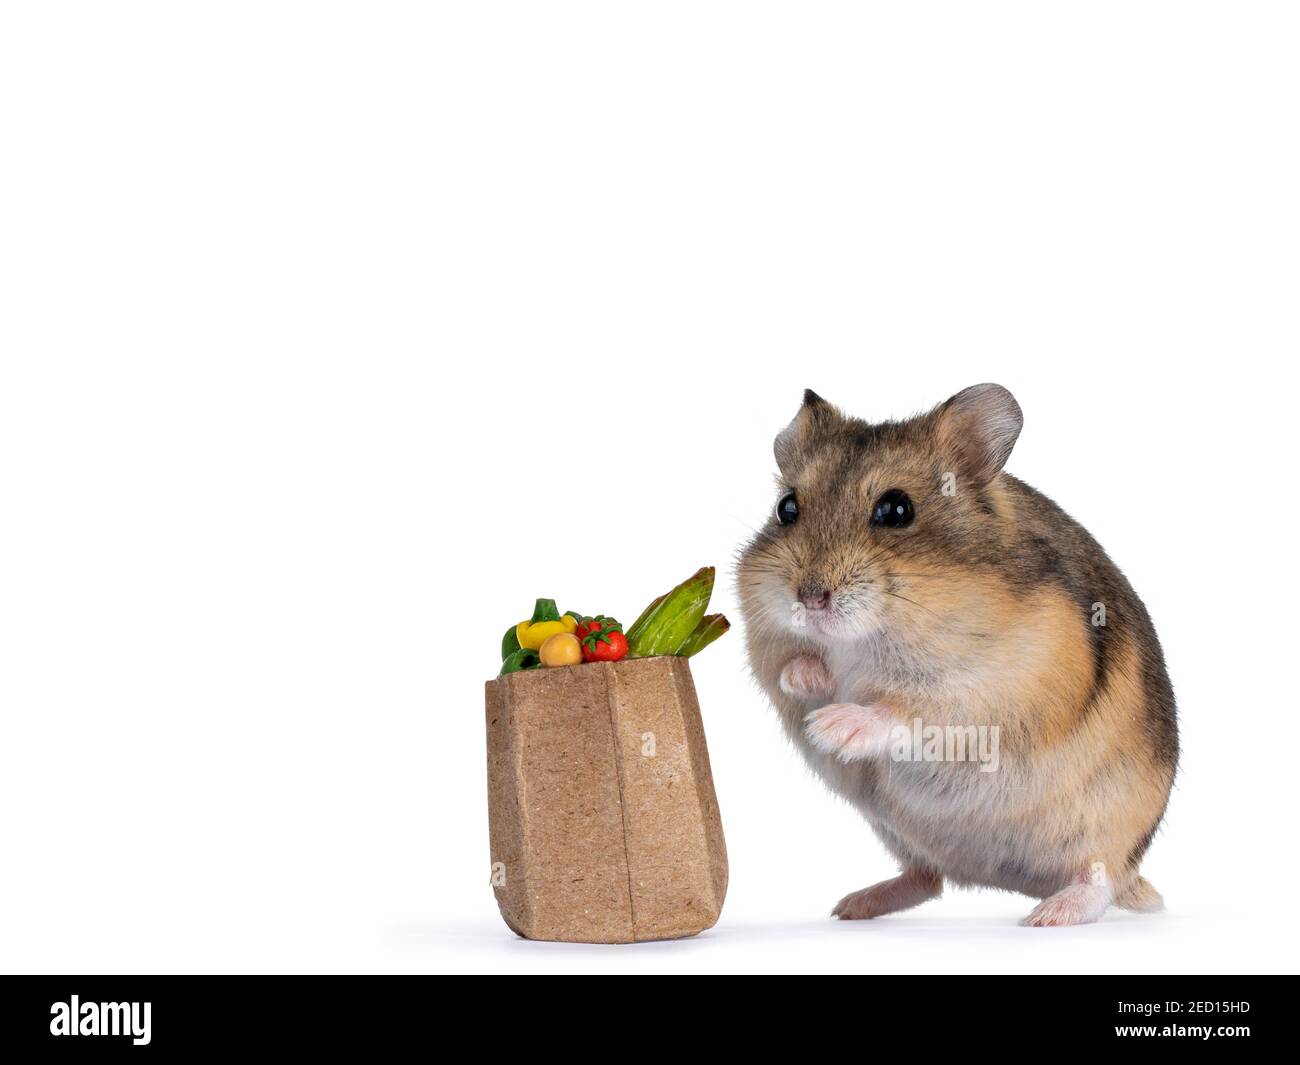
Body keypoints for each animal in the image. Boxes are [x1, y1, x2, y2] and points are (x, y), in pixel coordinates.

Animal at [737, 385, 1177, 926]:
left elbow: (904, 712)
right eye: (787, 508)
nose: (810, 598)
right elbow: (790, 668)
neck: (866, 639)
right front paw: (811, 682)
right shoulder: (769, 649)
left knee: (1100, 881)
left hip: (1106, 829)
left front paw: (831, 728)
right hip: (902, 838)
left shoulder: (988, 696)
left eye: (896, 510)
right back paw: (852, 907)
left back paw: (1045, 916)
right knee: (927, 878)